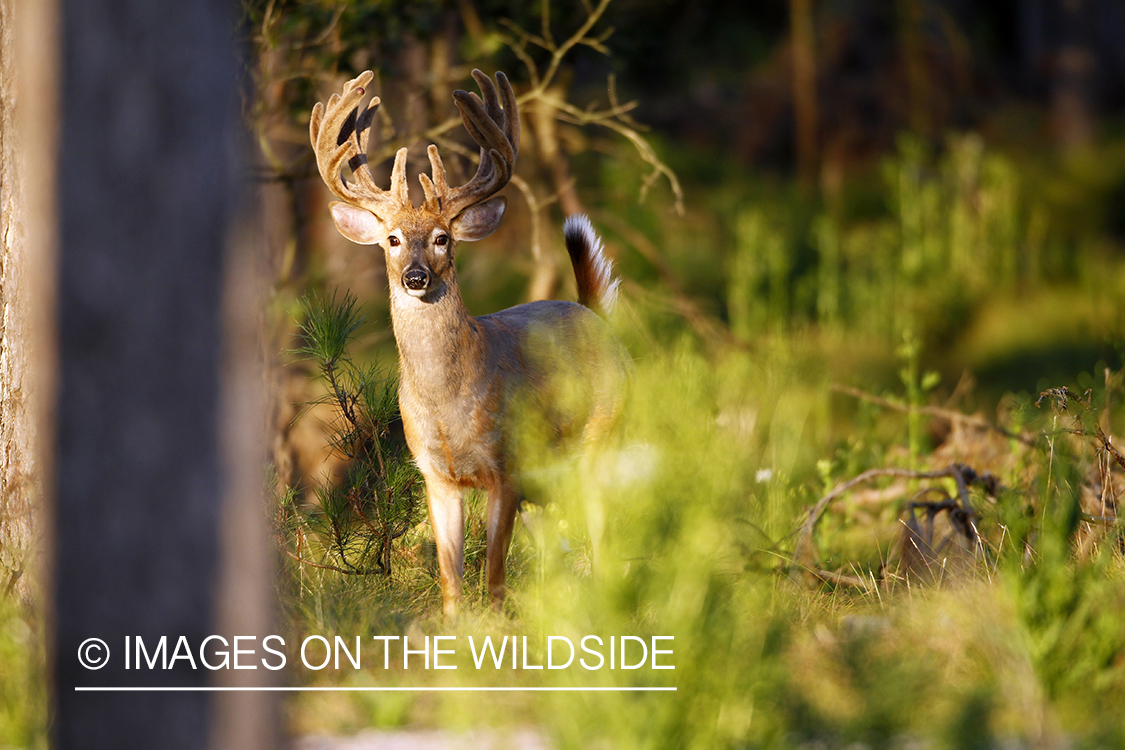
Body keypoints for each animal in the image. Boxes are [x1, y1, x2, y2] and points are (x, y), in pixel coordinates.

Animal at [312, 70, 630, 616]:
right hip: (548, 481)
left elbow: (495, 576)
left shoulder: (506, 465)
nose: (416, 277)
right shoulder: (435, 474)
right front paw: (455, 627)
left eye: (443, 238)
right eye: (393, 239)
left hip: (599, 439)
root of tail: (594, 314)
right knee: (559, 549)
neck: (446, 406)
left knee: (605, 538)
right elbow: (451, 580)